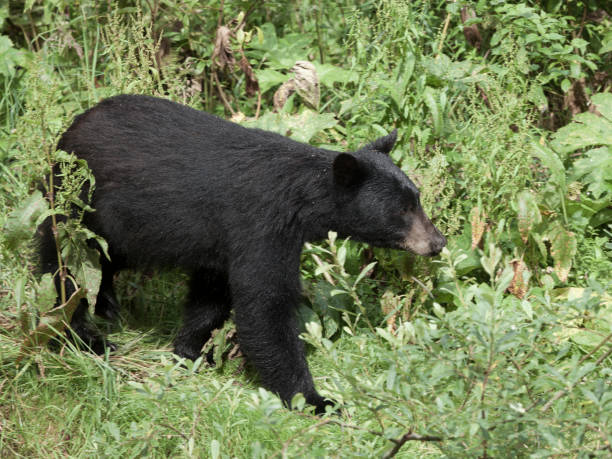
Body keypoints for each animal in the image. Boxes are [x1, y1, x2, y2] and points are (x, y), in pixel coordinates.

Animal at [38, 93, 444, 414]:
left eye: (417, 198)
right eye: (402, 210)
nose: (437, 242)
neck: (302, 201)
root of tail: (72, 126)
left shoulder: (222, 243)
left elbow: (212, 295)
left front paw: (188, 351)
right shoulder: (261, 224)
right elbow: (264, 305)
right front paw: (316, 400)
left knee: (104, 263)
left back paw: (106, 306)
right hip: (78, 201)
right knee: (63, 264)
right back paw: (86, 335)